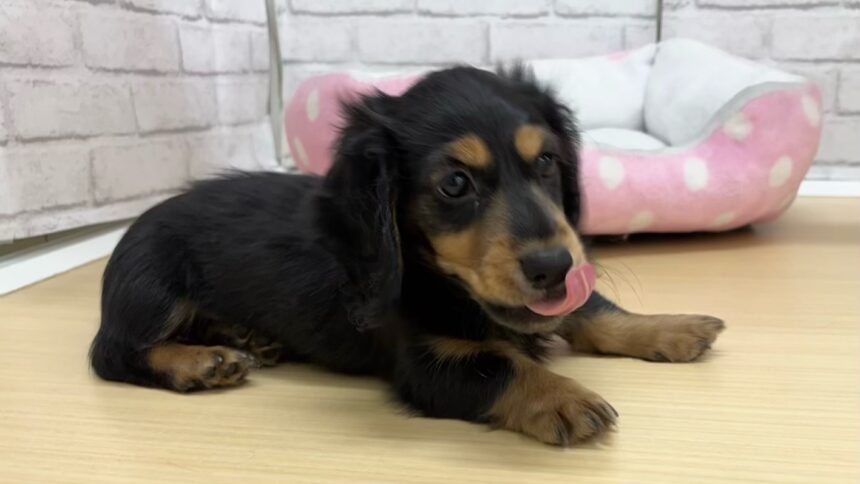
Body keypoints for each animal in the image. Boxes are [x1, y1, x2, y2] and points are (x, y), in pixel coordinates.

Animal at [90, 65, 724, 446]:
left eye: (546, 160)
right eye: (454, 184)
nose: (553, 267)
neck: (437, 278)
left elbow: (592, 309)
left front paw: (672, 327)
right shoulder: (427, 364)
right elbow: (503, 365)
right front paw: (564, 397)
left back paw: (244, 339)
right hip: (153, 285)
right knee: (112, 354)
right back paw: (202, 362)